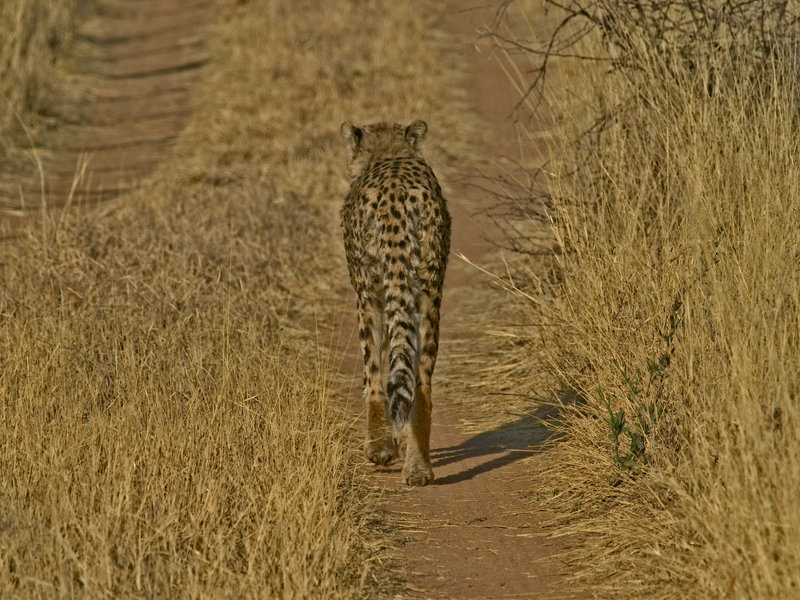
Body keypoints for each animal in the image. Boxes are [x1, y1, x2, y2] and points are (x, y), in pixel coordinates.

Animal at [340, 119, 450, 486]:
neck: (389, 154)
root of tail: (396, 192)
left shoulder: (367, 295)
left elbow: (373, 375)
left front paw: (382, 445)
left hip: (375, 294)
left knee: (377, 375)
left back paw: (382, 449)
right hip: (429, 293)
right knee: (421, 384)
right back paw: (418, 467)